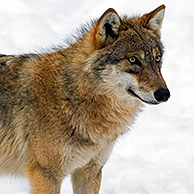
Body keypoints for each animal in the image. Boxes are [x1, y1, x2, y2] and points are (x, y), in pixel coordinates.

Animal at [0, 4, 170, 194]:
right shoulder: (46, 175)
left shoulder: (90, 169)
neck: (71, 95)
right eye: (133, 59)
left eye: (157, 59)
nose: (164, 94)